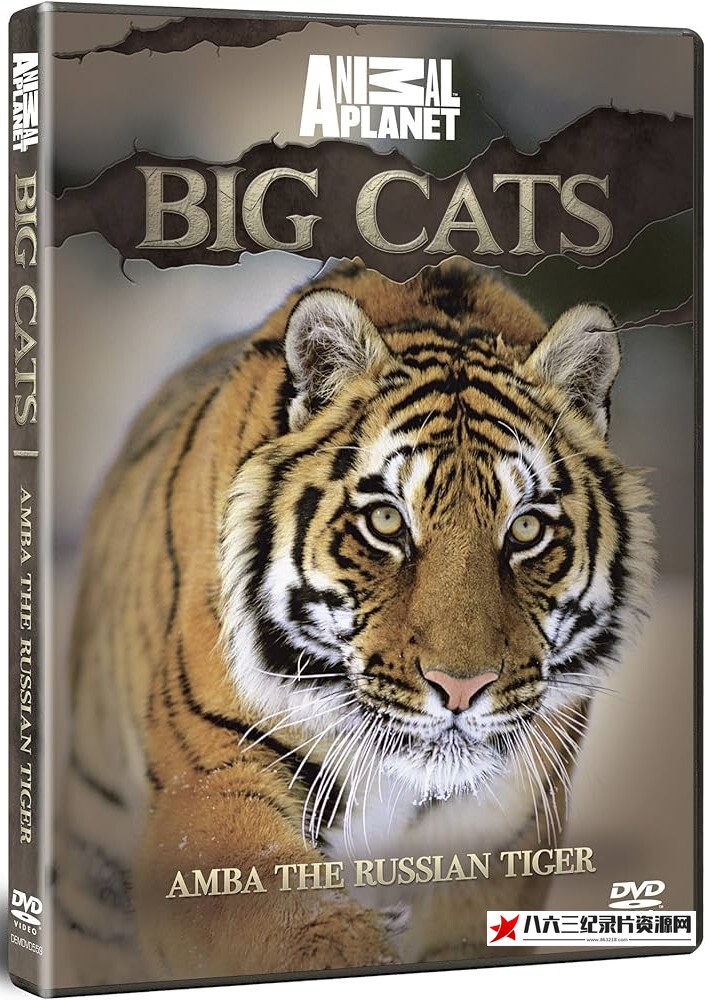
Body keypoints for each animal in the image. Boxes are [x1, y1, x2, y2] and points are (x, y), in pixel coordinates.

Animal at [56, 257, 654, 987]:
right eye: (387, 521)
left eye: (526, 529)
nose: (461, 688)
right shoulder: (210, 783)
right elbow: (294, 920)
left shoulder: (507, 826)